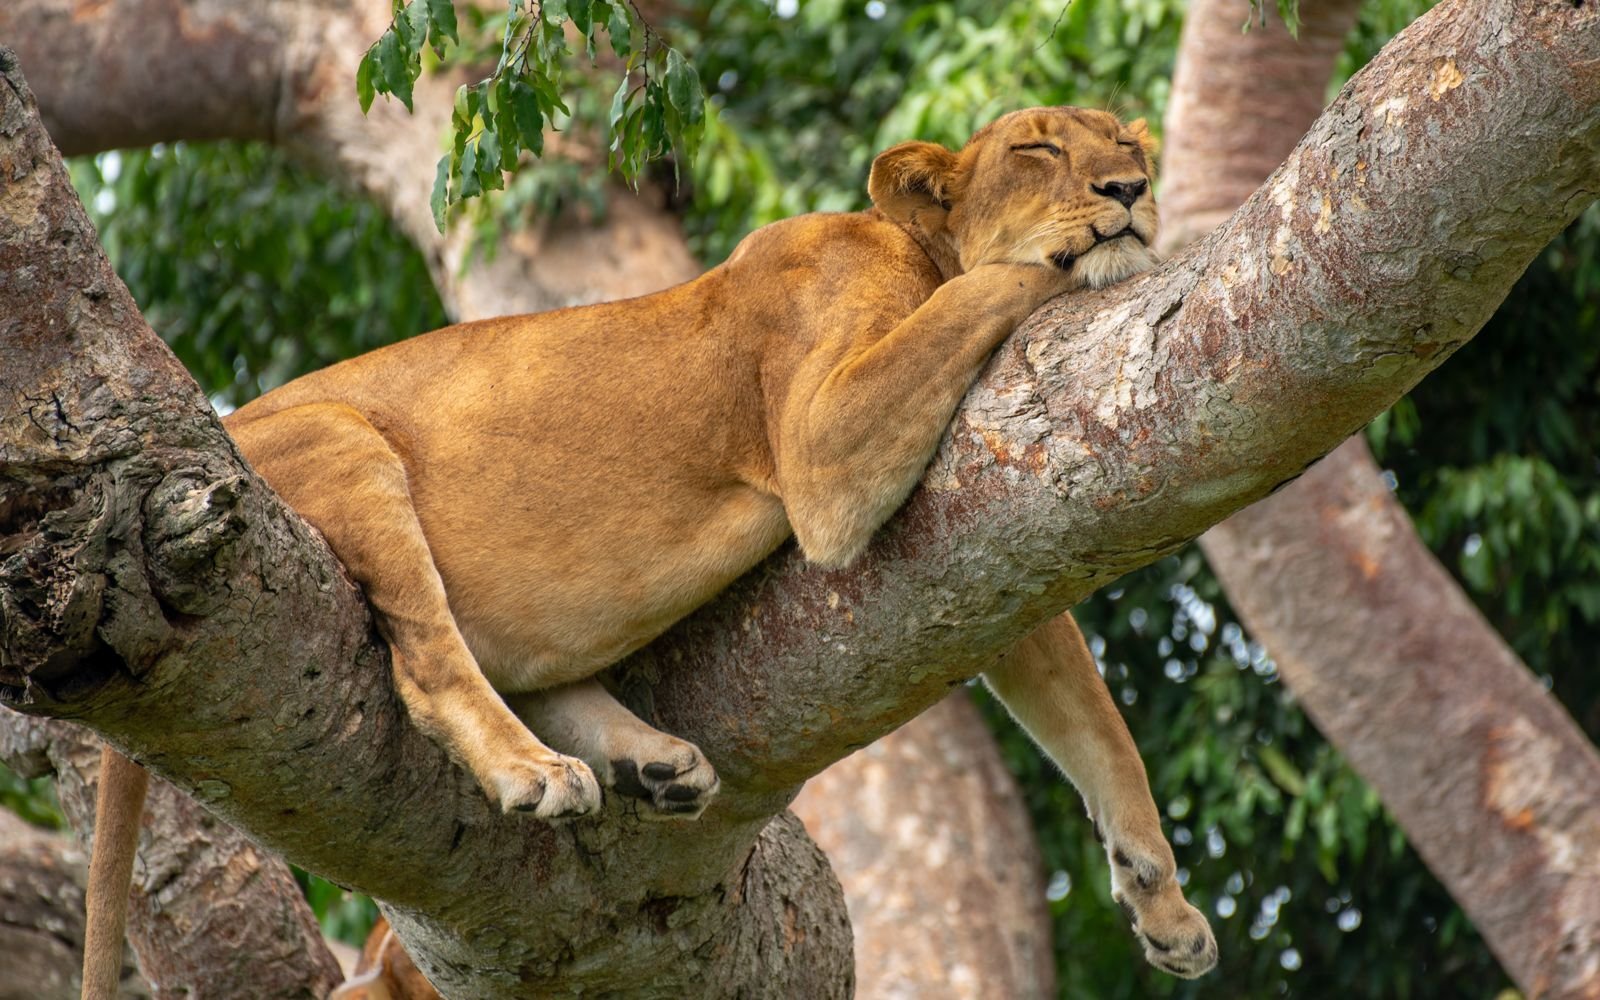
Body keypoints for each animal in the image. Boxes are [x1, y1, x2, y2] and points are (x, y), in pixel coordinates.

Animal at [83, 106, 1216, 997]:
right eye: (1038, 147)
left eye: (1122, 140)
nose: (1131, 185)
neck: (912, 246)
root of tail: (218, 428)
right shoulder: (824, 450)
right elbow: (992, 290)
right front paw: (1096, 255)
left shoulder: (980, 546)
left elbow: (1095, 727)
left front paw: (1162, 904)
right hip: (340, 440)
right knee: (430, 663)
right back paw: (536, 771)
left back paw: (651, 761)